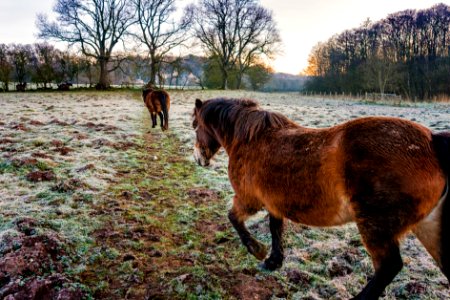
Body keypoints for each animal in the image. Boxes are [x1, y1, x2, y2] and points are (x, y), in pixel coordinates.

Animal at [192, 97, 450, 298]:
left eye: (195, 126)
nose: (198, 159)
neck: (249, 139)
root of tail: (431, 141)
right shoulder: (274, 203)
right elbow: (275, 228)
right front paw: (274, 261)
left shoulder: (248, 200)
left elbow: (234, 218)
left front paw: (257, 250)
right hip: (427, 226)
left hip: (376, 227)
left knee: (388, 267)